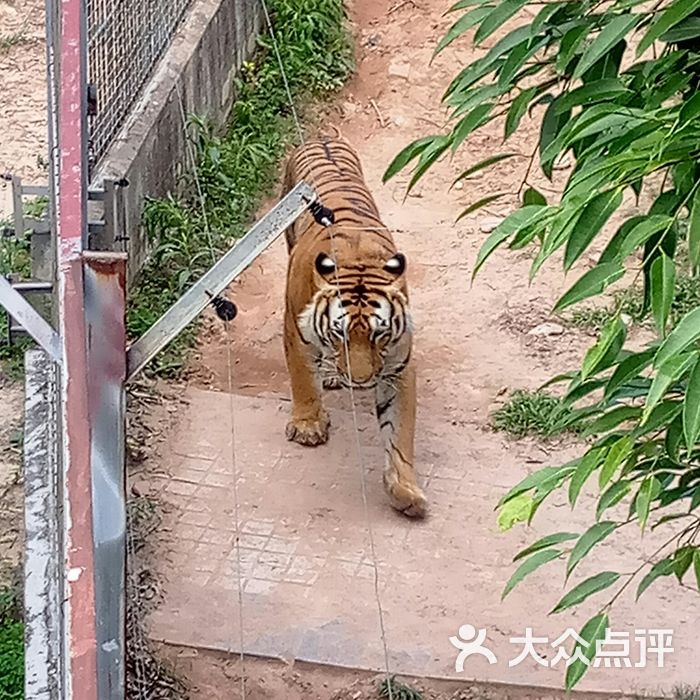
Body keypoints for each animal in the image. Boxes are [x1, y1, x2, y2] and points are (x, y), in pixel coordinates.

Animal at [278, 138, 426, 520]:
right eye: (340, 333)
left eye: (379, 334)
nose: (361, 381)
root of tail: (322, 136)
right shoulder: (296, 330)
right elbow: (302, 377)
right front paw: (308, 426)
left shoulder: (399, 364)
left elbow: (400, 431)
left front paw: (405, 491)